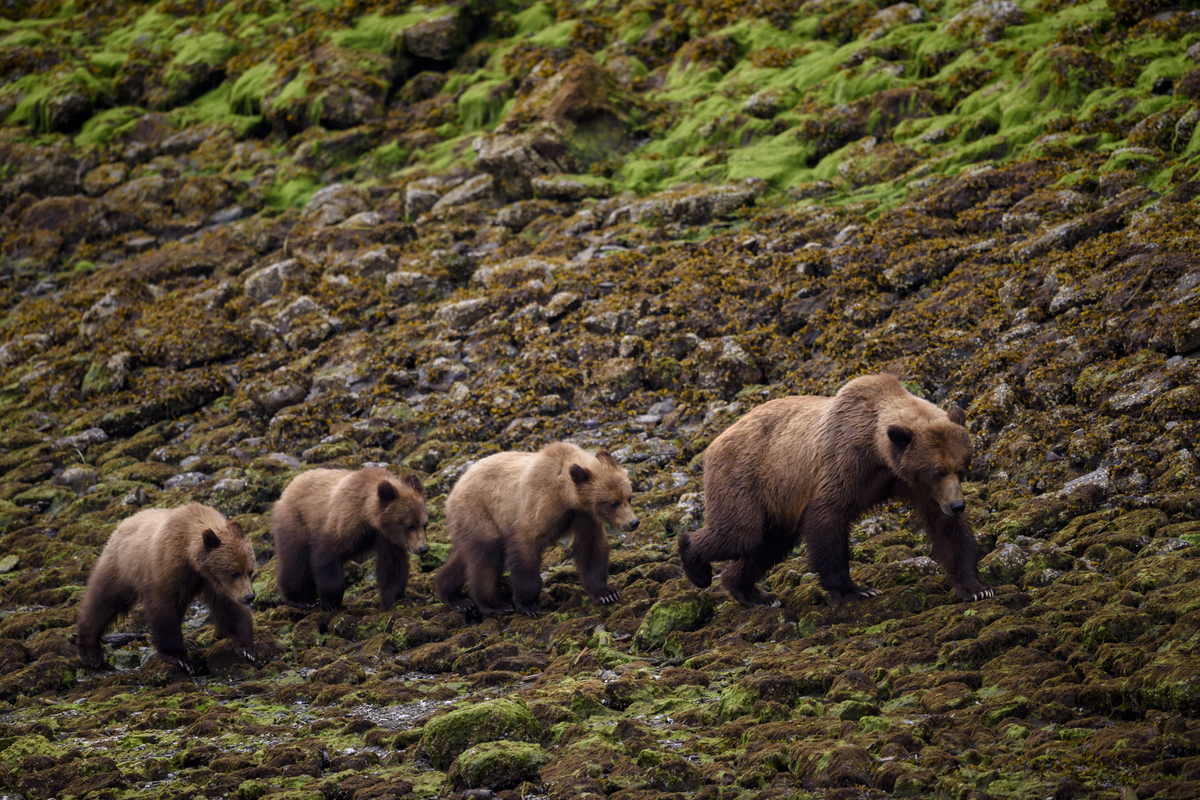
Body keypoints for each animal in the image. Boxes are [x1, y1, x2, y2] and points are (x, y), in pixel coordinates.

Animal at [77, 503, 255, 671]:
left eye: (250, 571)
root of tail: (122, 525)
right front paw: (179, 657)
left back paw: (187, 642)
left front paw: (246, 647)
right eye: (234, 572)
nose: (249, 597)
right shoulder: (166, 566)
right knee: (103, 602)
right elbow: (162, 608)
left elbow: (228, 606)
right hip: (121, 568)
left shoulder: (210, 581)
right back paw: (91, 653)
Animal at [271, 465, 427, 609]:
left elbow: (392, 565)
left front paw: (394, 599)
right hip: (296, 521)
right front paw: (331, 601)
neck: (367, 515)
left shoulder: (388, 538)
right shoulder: (346, 520)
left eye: (424, 524)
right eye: (410, 525)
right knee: (296, 561)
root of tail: (289, 486)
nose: (423, 548)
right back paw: (301, 599)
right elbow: (327, 554)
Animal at [436, 441, 643, 618]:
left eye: (629, 497)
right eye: (613, 503)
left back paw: (455, 598)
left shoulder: (584, 516)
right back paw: (495, 605)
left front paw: (606, 593)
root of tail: (453, 489)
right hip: (480, 513)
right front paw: (528, 604)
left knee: (465, 558)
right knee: (486, 557)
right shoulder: (542, 502)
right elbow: (525, 541)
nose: (633, 522)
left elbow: (591, 548)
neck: (566, 494)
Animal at [681, 376, 988, 606]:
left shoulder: (913, 483)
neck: (879, 453)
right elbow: (828, 516)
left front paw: (975, 588)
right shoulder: (846, 461)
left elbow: (947, 529)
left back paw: (752, 592)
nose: (958, 505)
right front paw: (857, 589)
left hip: (776, 503)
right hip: (746, 479)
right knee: (740, 534)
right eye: (937, 471)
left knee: (767, 545)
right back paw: (696, 566)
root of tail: (715, 441)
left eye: (962, 468)